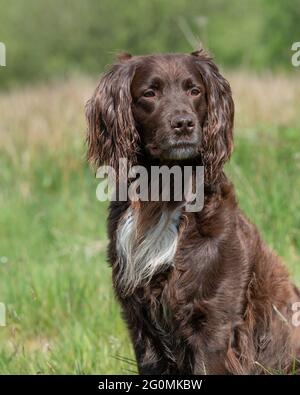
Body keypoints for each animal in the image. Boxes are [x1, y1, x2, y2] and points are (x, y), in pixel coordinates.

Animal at [85, 49, 300, 374]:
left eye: (194, 90)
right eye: (150, 93)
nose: (184, 123)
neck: (164, 194)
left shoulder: (212, 321)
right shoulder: (140, 322)